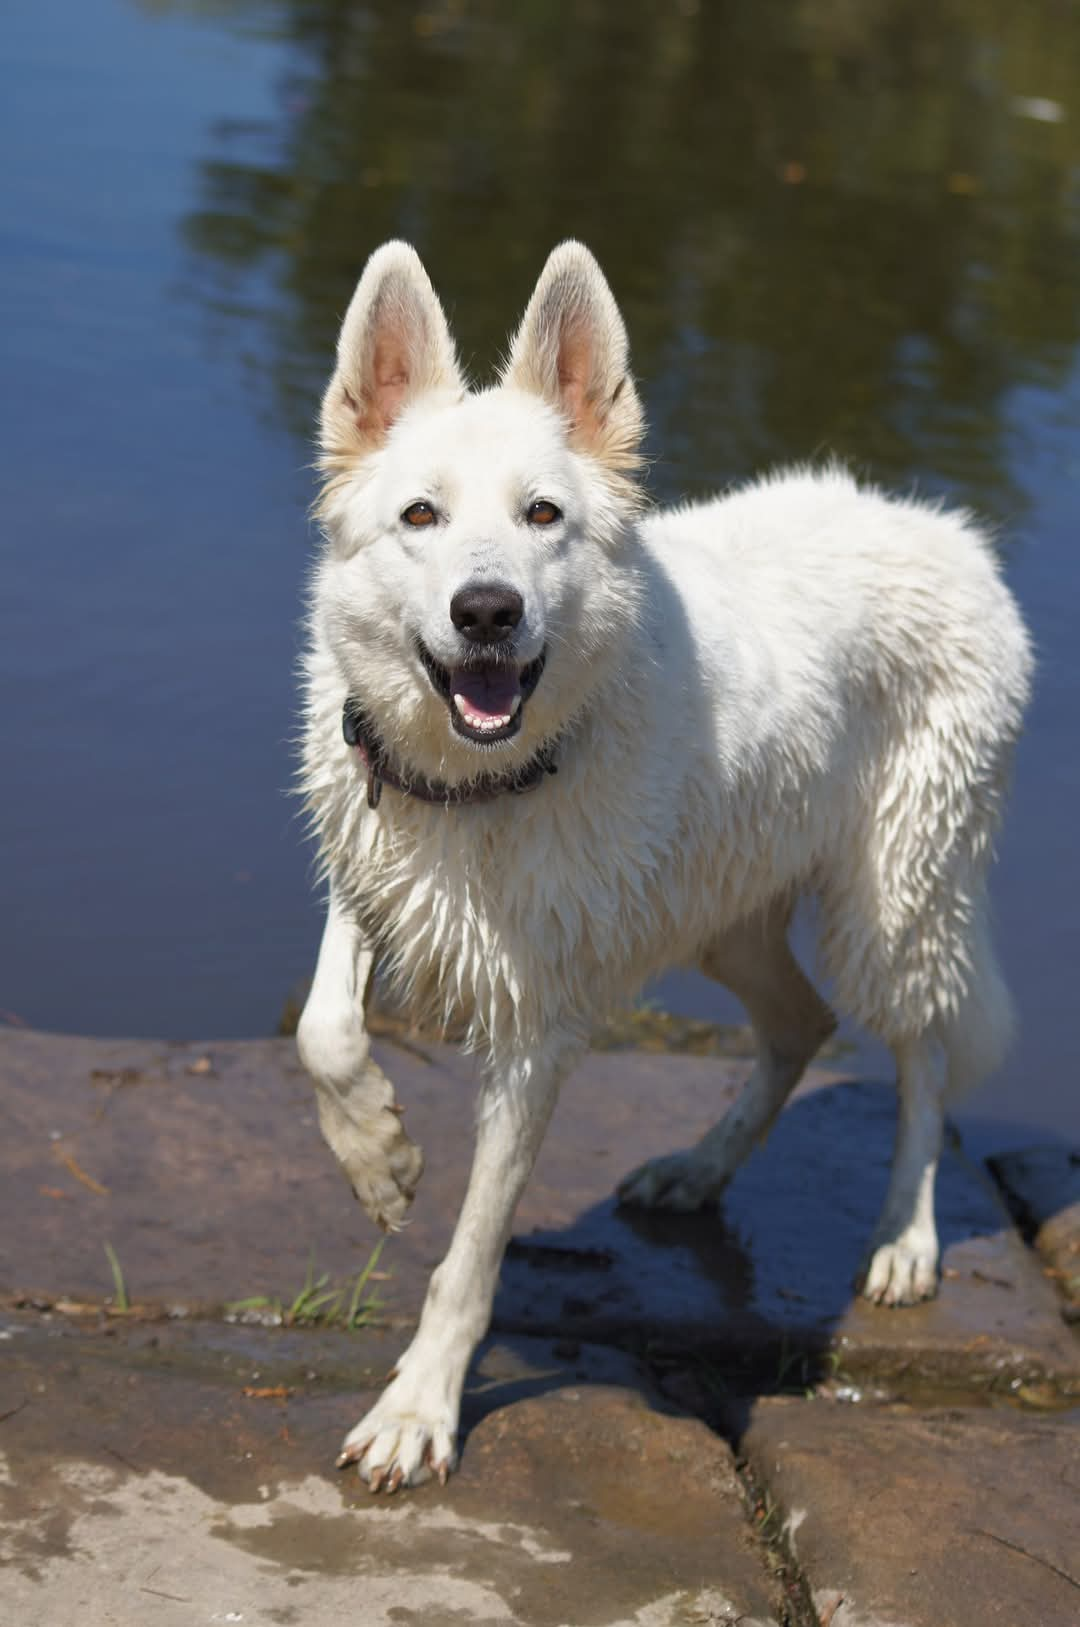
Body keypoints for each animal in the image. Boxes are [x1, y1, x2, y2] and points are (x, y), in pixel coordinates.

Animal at [292, 235, 1027, 1490]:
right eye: (420, 515)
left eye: (543, 514)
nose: (486, 611)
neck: (487, 785)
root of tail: (951, 537)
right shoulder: (373, 858)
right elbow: (324, 1028)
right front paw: (379, 1159)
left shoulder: (539, 1032)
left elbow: (471, 1255)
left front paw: (419, 1410)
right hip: (717, 912)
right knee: (800, 1025)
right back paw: (698, 1170)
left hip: (891, 903)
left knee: (921, 1054)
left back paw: (903, 1237)